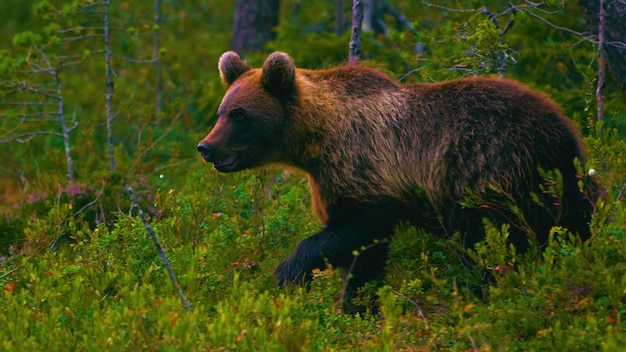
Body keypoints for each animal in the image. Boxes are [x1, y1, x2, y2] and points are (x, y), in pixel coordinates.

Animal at [197, 51, 596, 310]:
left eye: (240, 114)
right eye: (221, 111)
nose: (206, 147)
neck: (314, 140)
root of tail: (563, 126)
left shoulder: (362, 171)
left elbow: (355, 228)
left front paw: (289, 273)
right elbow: (364, 255)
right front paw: (358, 305)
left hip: (496, 170)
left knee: (507, 237)